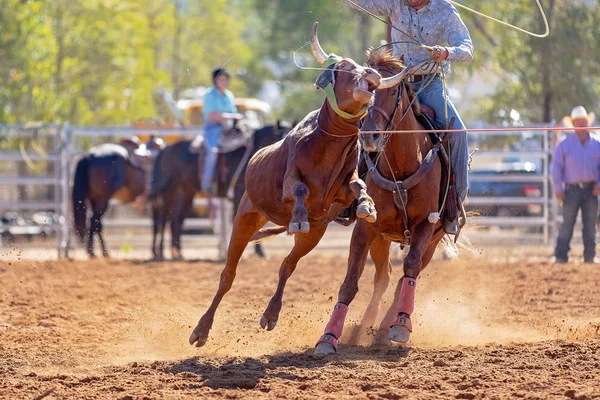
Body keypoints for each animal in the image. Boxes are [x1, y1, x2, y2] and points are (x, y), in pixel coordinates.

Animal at [149, 122, 292, 260]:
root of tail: (165, 150)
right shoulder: (240, 195)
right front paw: (256, 252)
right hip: (168, 191)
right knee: (162, 219)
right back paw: (159, 253)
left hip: (185, 192)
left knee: (176, 220)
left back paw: (177, 253)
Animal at [314, 47, 450, 356]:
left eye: (393, 92)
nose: (370, 136)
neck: (401, 166)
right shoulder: (367, 228)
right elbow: (350, 283)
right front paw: (329, 336)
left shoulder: (426, 225)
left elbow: (410, 269)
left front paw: (401, 325)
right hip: (382, 239)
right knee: (384, 278)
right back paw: (365, 327)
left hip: (434, 240)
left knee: (406, 277)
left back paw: (391, 325)